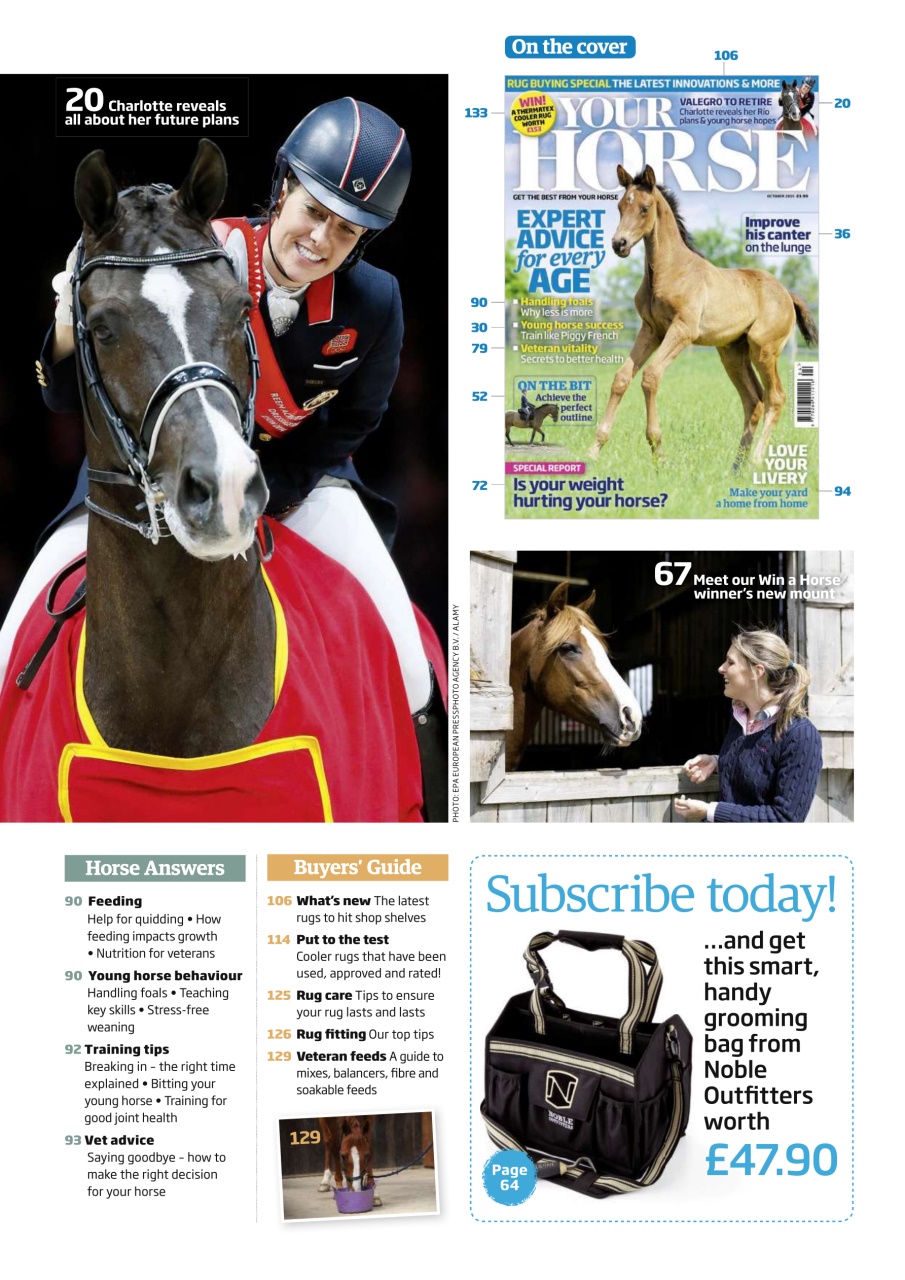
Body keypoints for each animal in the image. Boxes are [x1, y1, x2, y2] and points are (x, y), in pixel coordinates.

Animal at [588, 165, 819, 468]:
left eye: (644, 208)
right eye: (619, 206)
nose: (619, 244)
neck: (671, 270)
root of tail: (787, 293)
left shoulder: (683, 331)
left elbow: (650, 377)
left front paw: (658, 452)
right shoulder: (651, 330)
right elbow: (622, 377)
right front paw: (594, 449)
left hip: (763, 349)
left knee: (775, 397)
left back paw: (755, 461)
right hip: (732, 353)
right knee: (753, 399)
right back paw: (735, 467)